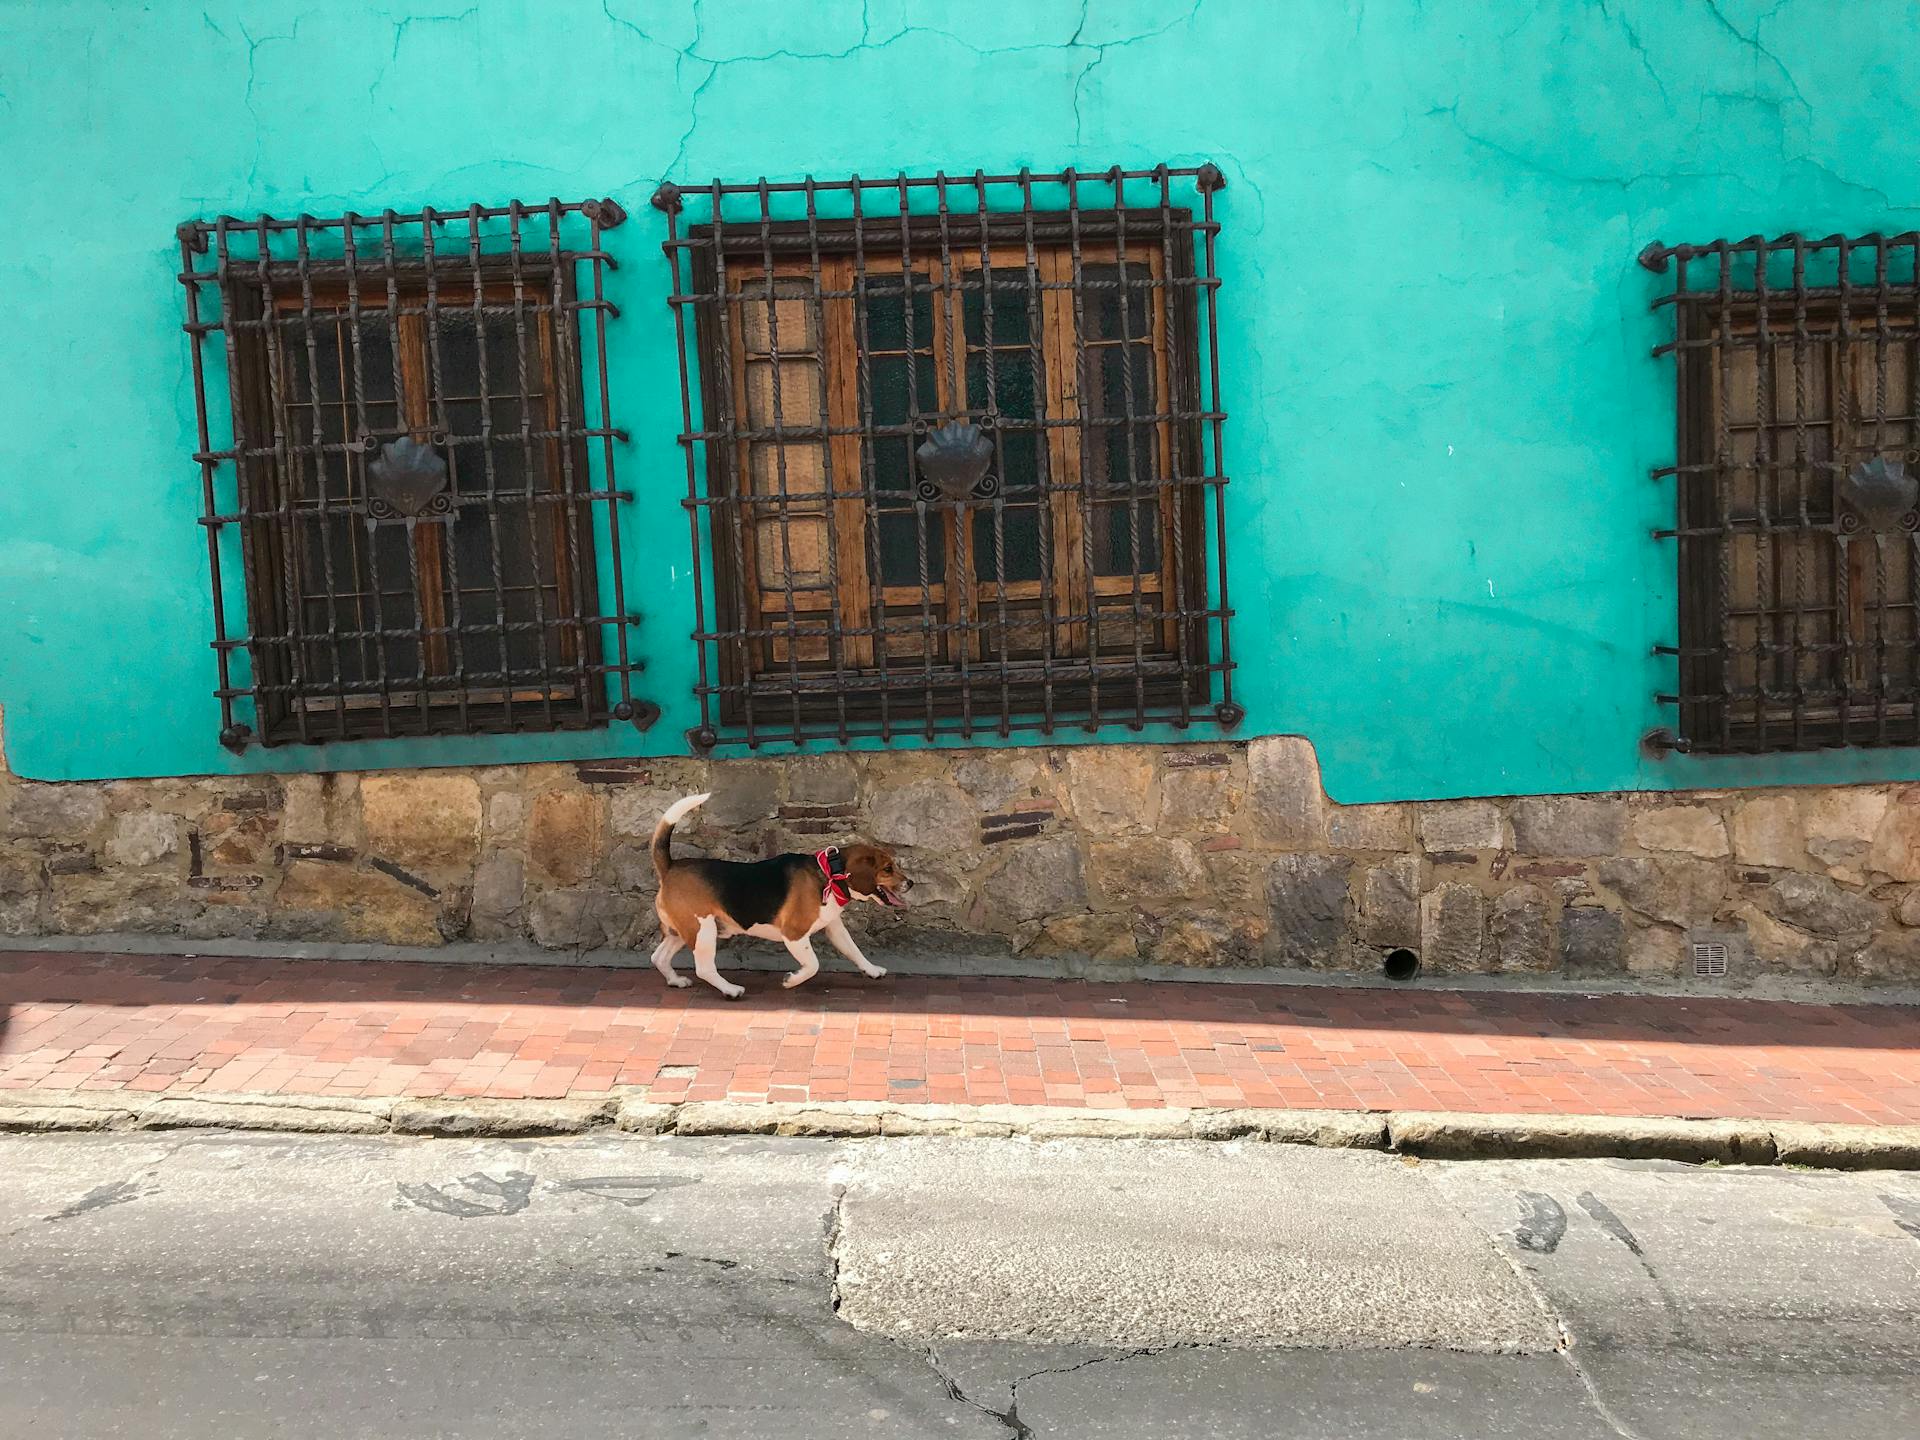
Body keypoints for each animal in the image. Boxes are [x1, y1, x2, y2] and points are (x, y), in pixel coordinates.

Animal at [652, 794, 906, 998]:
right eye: (887, 869)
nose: (910, 883)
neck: (829, 873)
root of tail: (670, 867)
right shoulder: (794, 935)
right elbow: (813, 964)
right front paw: (791, 981)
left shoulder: (834, 927)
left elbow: (854, 950)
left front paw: (872, 970)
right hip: (702, 930)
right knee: (704, 968)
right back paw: (731, 990)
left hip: (681, 931)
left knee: (658, 957)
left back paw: (675, 980)